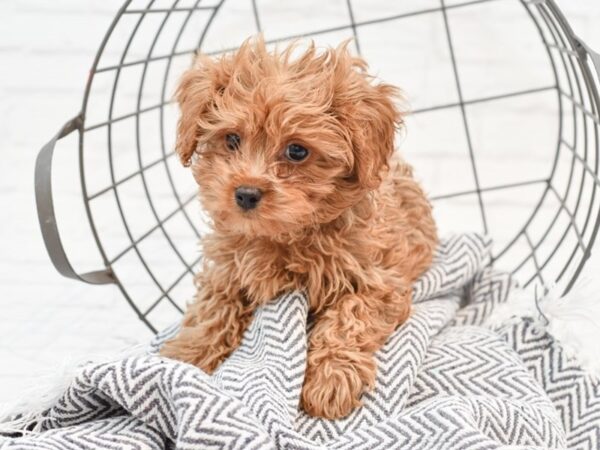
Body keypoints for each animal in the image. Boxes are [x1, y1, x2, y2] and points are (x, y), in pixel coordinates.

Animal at [162, 37, 438, 420]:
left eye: (296, 151)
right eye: (231, 140)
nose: (245, 193)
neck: (285, 235)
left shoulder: (379, 282)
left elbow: (348, 319)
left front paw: (331, 379)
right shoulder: (228, 268)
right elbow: (214, 309)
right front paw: (188, 354)